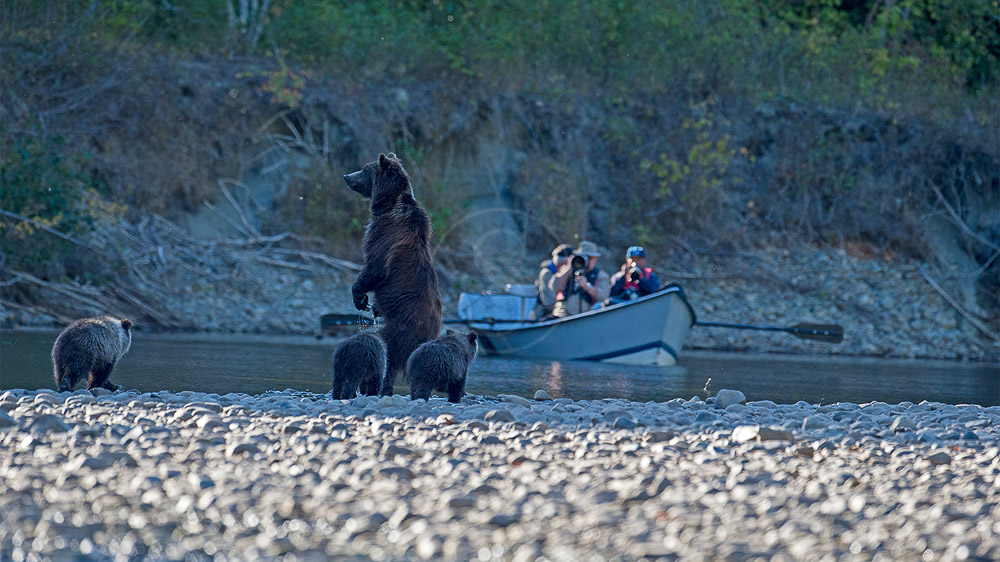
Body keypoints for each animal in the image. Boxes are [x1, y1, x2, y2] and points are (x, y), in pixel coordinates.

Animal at [344, 151, 442, 392]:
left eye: (364, 169)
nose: (346, 176)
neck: (389, 205)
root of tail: (431, 330)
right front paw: (372, 306)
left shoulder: (384, 234)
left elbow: (375, 267)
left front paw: (359, 295)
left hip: (402, 325)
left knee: (388, 351)